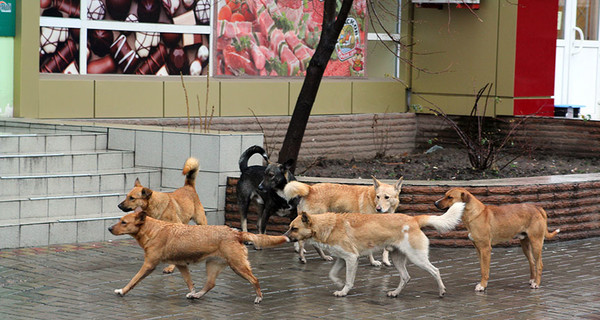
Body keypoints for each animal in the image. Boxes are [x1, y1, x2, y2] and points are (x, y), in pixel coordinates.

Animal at [109, 209, 290, 304]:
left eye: (123, 222)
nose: (110, 228)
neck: (152, 230)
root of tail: (236, 232)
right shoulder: (181, 265)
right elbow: (189, 282)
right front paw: (192, 292)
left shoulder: (149, 264)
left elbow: (133, 280)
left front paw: (122, 291)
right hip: (213, 265)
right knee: (210, 284)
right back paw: (197, 295)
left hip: (238, 266)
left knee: (255, 279)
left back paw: (259, 297)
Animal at [284, 202, 466, 298]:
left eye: (294, 228)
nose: (284, 237)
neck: (327, 226)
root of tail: (414, 219)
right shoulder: (342, 259)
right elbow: (332, 274)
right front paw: (339, 285)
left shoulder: (351, 258)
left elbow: (349, 280)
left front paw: (344, 291)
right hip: (398, 258)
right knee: (406, 277)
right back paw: (395, 293)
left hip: (417, 258)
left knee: (435, 271)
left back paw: (441, 291)